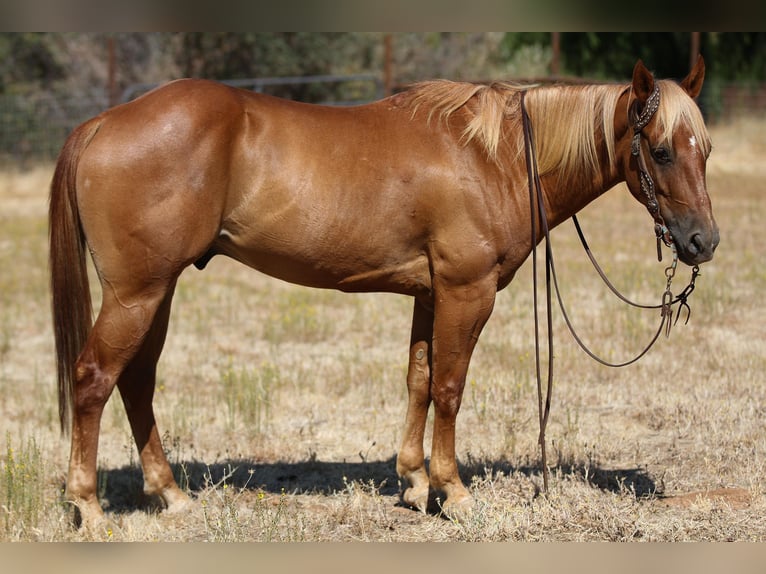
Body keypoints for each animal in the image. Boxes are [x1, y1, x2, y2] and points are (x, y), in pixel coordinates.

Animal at [48, 58, 720, 532]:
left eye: (705, 149)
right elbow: (449, 387)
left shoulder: (430, 293)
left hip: (156, 292)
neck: (494, 157)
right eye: (661, 150)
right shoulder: (467, 291)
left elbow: (419, 380)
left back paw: (170, 495)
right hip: (137, 293)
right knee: (94, 379)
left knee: (135, 382)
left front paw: (415, 483)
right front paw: (454, 491)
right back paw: (90, 508)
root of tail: (102, 123)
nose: (702, 241)